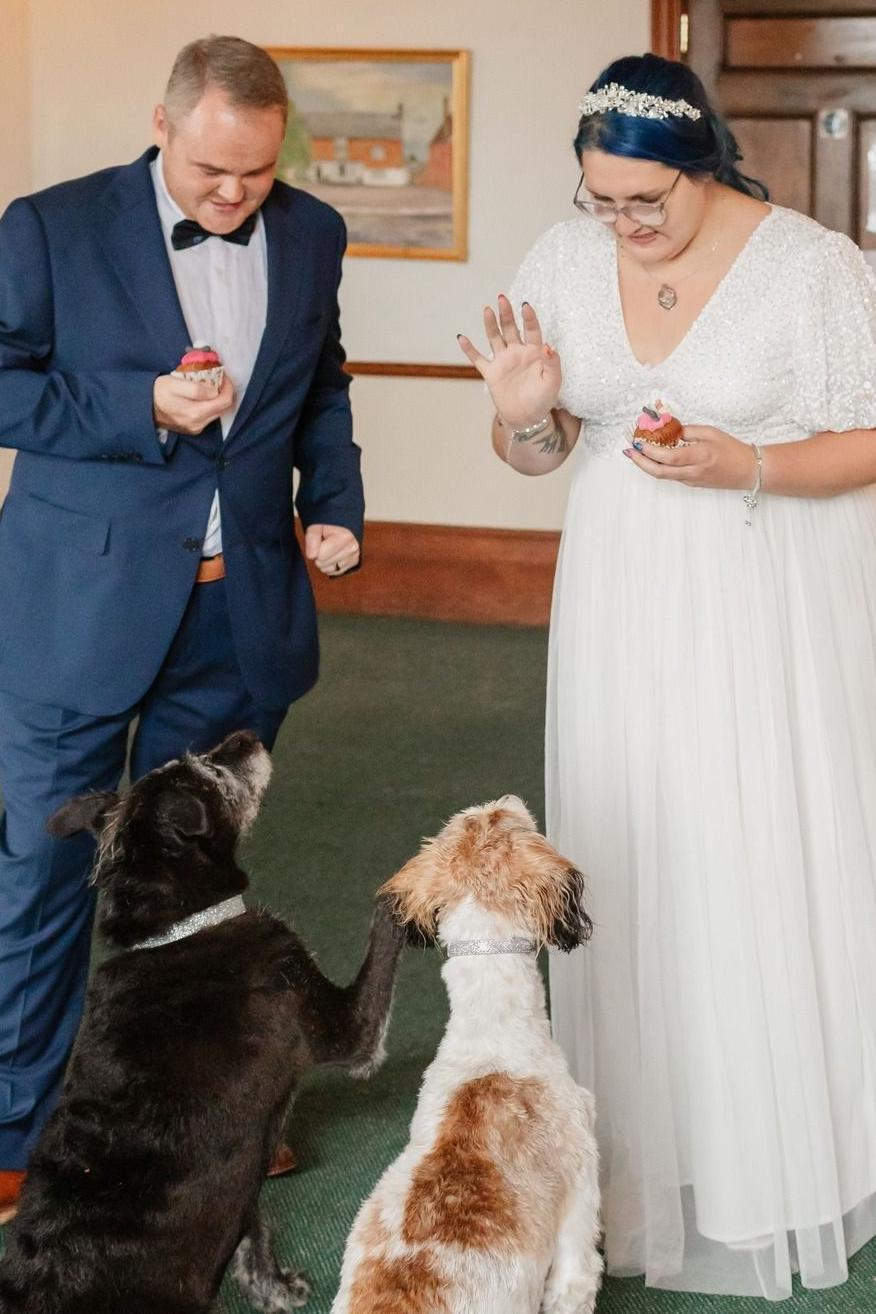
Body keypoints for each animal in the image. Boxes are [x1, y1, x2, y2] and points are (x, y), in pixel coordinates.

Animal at [0, 730, 404, 1314]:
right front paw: (420, 883)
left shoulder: (248, 1182)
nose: (245, 735)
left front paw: (271, 1286)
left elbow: (254, 1228)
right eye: (209, 774)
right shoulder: (350, 1030)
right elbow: (385, 922)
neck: (178, 929)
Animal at [328, 793, 604, 1308]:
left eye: (472, 817)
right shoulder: (579, 1206)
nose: (508, 797)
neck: (492, 1031)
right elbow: (574, 1282)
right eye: (501, 817)